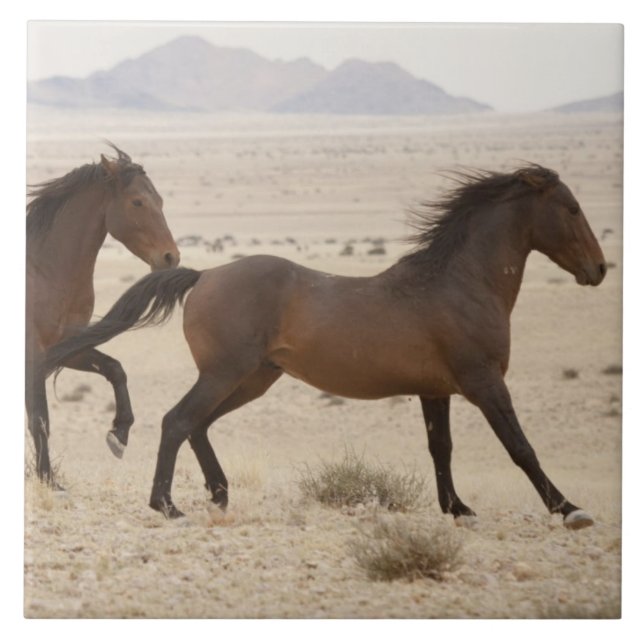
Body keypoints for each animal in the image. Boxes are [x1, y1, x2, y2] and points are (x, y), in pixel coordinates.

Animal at [26, 144, 180, 486]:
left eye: (162, 201)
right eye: (137, 201)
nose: (171, 257)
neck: (45, 272)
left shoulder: (68, 349)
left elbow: (115, 369)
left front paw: (118, 435)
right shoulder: (34, 355)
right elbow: (39, 419)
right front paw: (49, 480)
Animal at [44, 164, 607, 529]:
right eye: (573, 208)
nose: (599, 269)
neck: (459, 284)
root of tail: (204, 275)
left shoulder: (436, 390)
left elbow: (440, 448)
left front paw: (458, 509)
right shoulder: (485, 382)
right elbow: (521, 447)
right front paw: (570, 509)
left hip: (253, 379)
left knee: (197, 425)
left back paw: (218, 495)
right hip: (227, 374)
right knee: (177, 421)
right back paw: (167, 506)